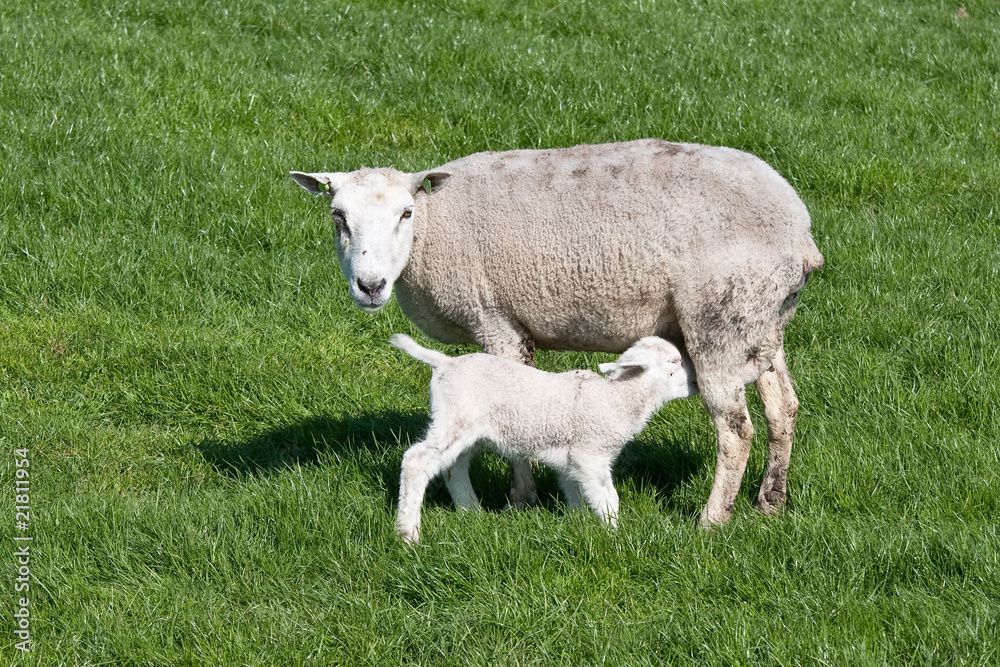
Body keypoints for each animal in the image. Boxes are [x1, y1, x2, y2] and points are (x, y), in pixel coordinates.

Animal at [389, 333, 699, 543]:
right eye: (674, 361)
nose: (697, 380)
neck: (619, 397)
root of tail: (445, 362)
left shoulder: (571, 460)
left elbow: (575, 493)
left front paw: (580, 524)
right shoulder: (590, 453)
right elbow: (609, 498)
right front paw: (615, 534)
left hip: (466, 428)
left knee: (454, 466)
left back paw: (471, 511)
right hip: (454, 418)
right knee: (417, 461)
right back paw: (408, 533)